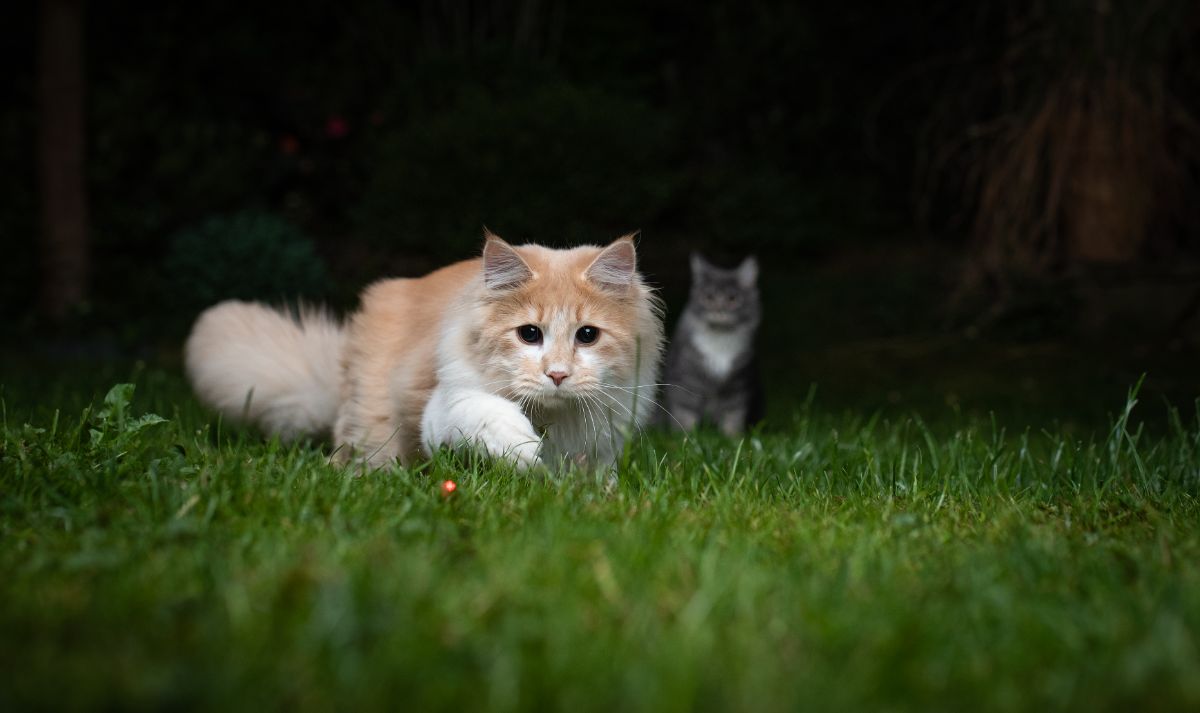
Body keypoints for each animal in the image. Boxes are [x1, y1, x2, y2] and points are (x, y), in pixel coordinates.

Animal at [184, 230, 667, 468]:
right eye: (529, 334)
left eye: (587, 336)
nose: (558, 374)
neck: (551, 417)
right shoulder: (441, 407)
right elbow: (483, 411)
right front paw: (519, 446)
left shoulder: (600, 449)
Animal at [662, 252, 763, 436]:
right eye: (708, 297)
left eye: (732, 299)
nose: (719, 310)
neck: (720, 343)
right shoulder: (685, 382)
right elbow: (684, 414)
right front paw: (686, 436)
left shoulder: (739, 386)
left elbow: (733, 416)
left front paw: (733, 437)